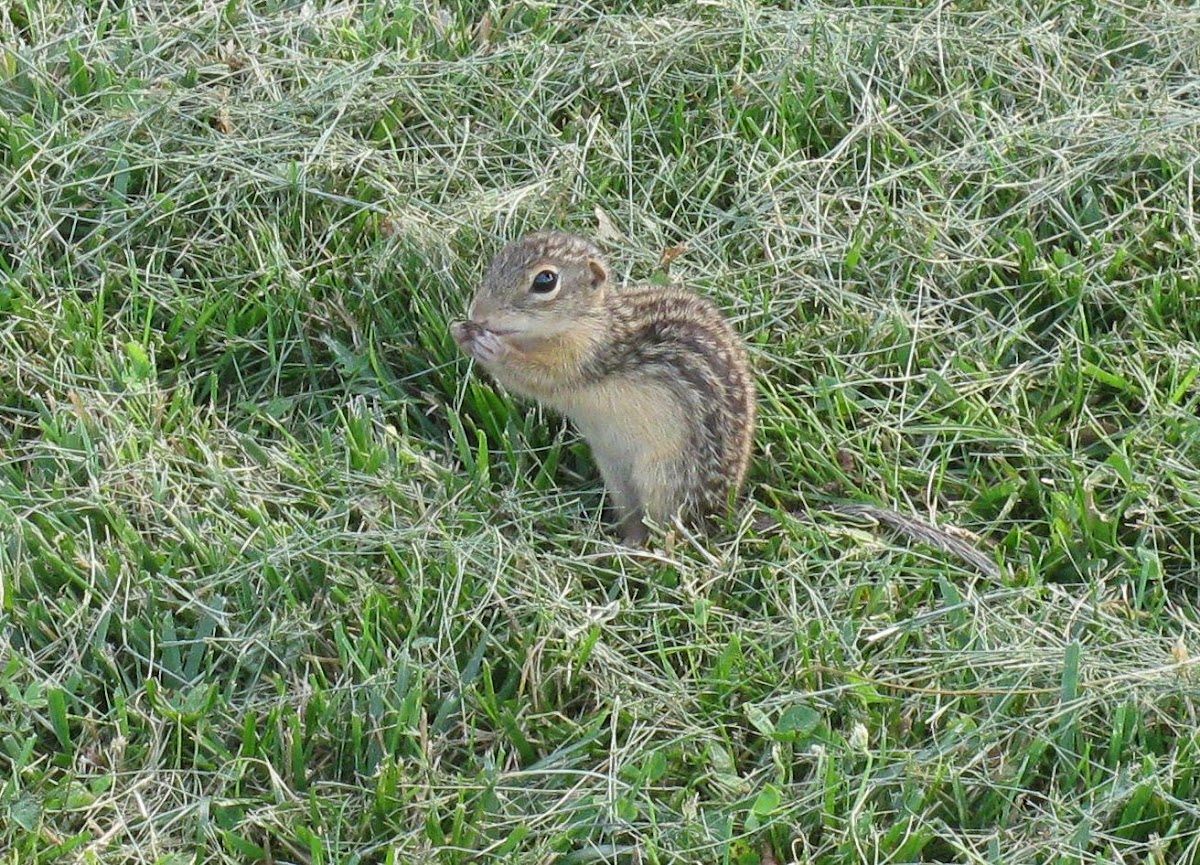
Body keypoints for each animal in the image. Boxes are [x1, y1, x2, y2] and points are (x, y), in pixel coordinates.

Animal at [448, 232, 993, 575]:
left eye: (545, 281)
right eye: (497, 262)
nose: (478, 313)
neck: (588, 322)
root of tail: (724, 513)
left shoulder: (583, 359)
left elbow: (539, 379)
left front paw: (488, 346)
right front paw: (461, 330)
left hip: (663, 476)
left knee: (668, 535)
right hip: (618, 474)